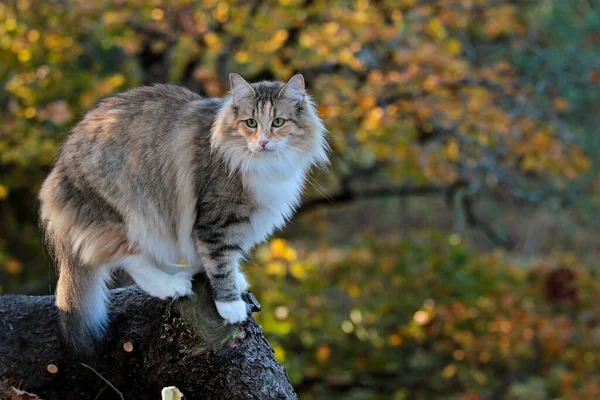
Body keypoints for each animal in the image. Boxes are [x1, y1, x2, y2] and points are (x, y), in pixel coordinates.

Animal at [38, 73, 328, 352]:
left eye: (278, 122)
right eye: (251, 123)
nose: (264, 142)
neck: (265, 166)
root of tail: (58, 173)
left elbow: (228, 260)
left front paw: (235, 281)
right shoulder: (217, 221)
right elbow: (221, 262)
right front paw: (230, 305)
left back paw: (183, 273)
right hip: (126, 213)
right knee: (131, 258)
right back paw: (170, 285)